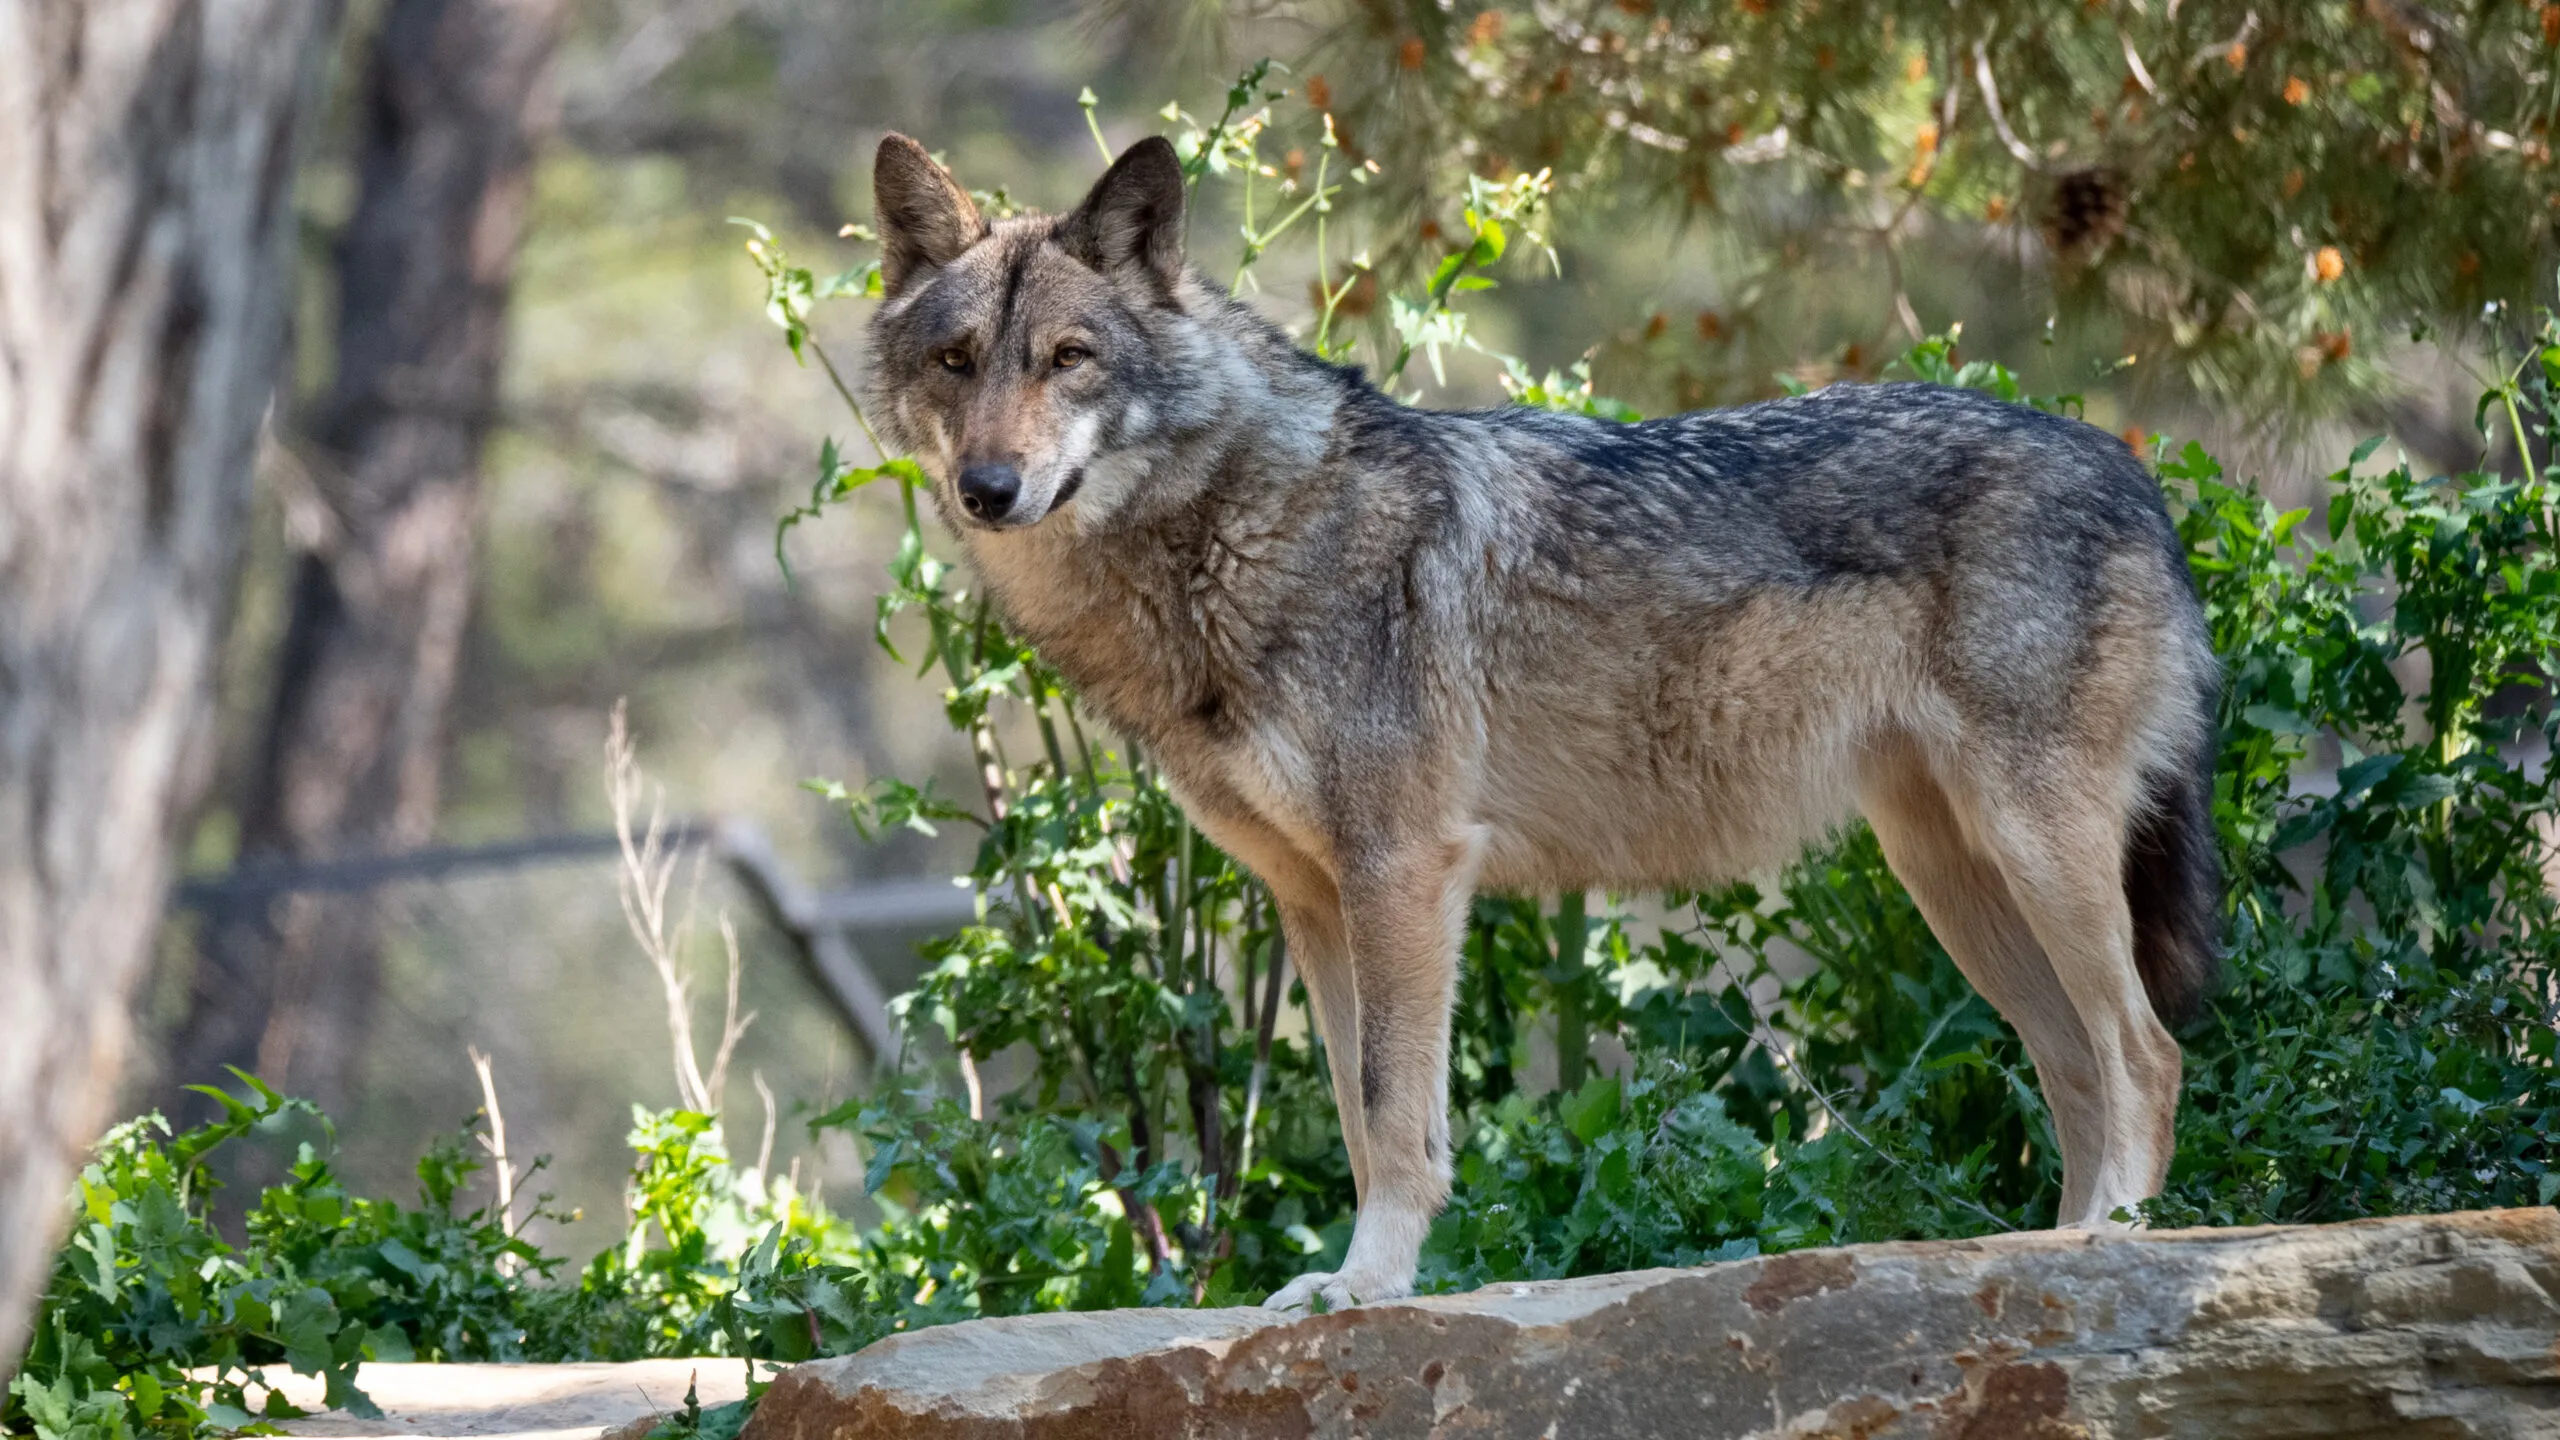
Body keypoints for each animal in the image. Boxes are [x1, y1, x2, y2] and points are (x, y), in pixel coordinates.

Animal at [862, 133, 2222, 1312]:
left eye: (1069, 358)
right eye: (957, 361)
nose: (989, 489)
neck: (1237, 530)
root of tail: (2134, 472)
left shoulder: (1405, 869)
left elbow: (1393, 1112)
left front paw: (1365, 1288)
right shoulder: (1315, 898)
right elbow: (1357, 1112)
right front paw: (1354, 1282)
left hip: (2030, 854)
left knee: (2147, 1055)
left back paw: (2112, 1244)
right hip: (1955, 883)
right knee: (2077, 1065)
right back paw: (2043, 1259)